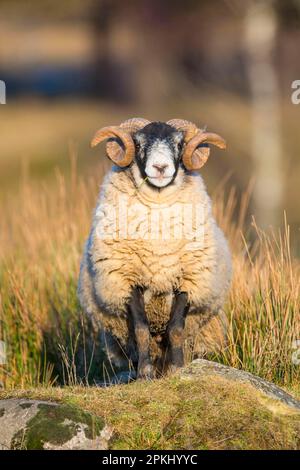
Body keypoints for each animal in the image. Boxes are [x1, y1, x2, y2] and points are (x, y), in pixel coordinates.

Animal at [78, 117, 232, 378]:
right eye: (139, 143)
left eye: (179, 144)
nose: (160, 167)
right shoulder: (127, 280)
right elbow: (141, 329)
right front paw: (144, 372)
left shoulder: (188, 280)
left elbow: (176, 329)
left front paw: (177, 368)